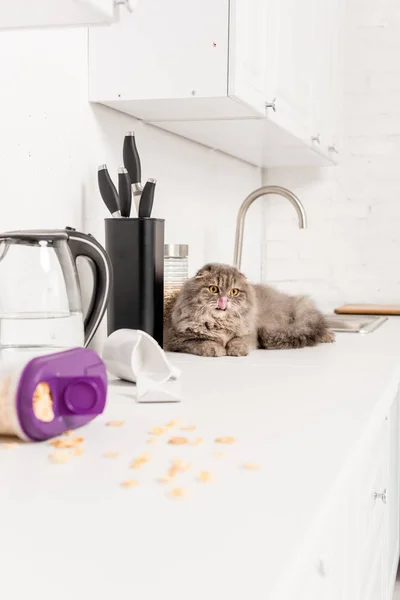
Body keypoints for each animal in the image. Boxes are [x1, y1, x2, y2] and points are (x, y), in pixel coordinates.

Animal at [162, 262, 334, 356]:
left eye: (234, 292)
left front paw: (235, 350)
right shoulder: (179, 340)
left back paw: (329, 336)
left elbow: (238, 341)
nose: (224, 301)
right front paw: (218, 349)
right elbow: (203, 342)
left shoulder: (250, 334)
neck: (219, 323)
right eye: (213, 289)